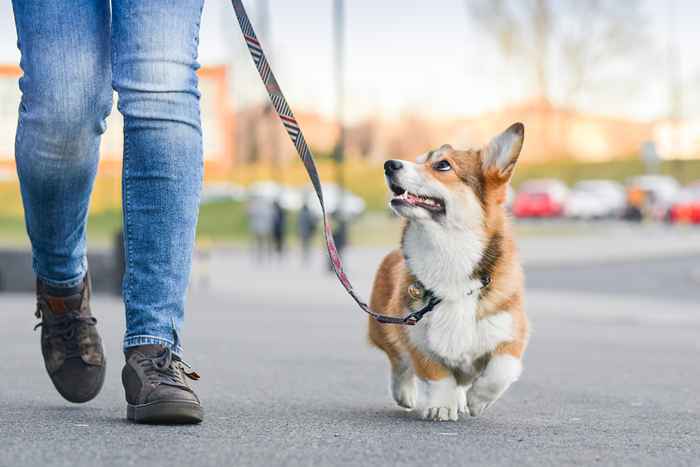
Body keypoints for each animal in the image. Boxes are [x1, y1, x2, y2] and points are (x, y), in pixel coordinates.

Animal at [370, 122, 528, 422]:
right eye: (418, 160)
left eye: (442, 165)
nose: (389, 164)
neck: (449, 253)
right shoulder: (416, 336)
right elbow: (438, 375)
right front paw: (442, 406)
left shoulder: (511, 333)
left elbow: (500, 370)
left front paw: (478, 400)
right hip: (383, 327)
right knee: (398, 362)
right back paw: (406, 393)